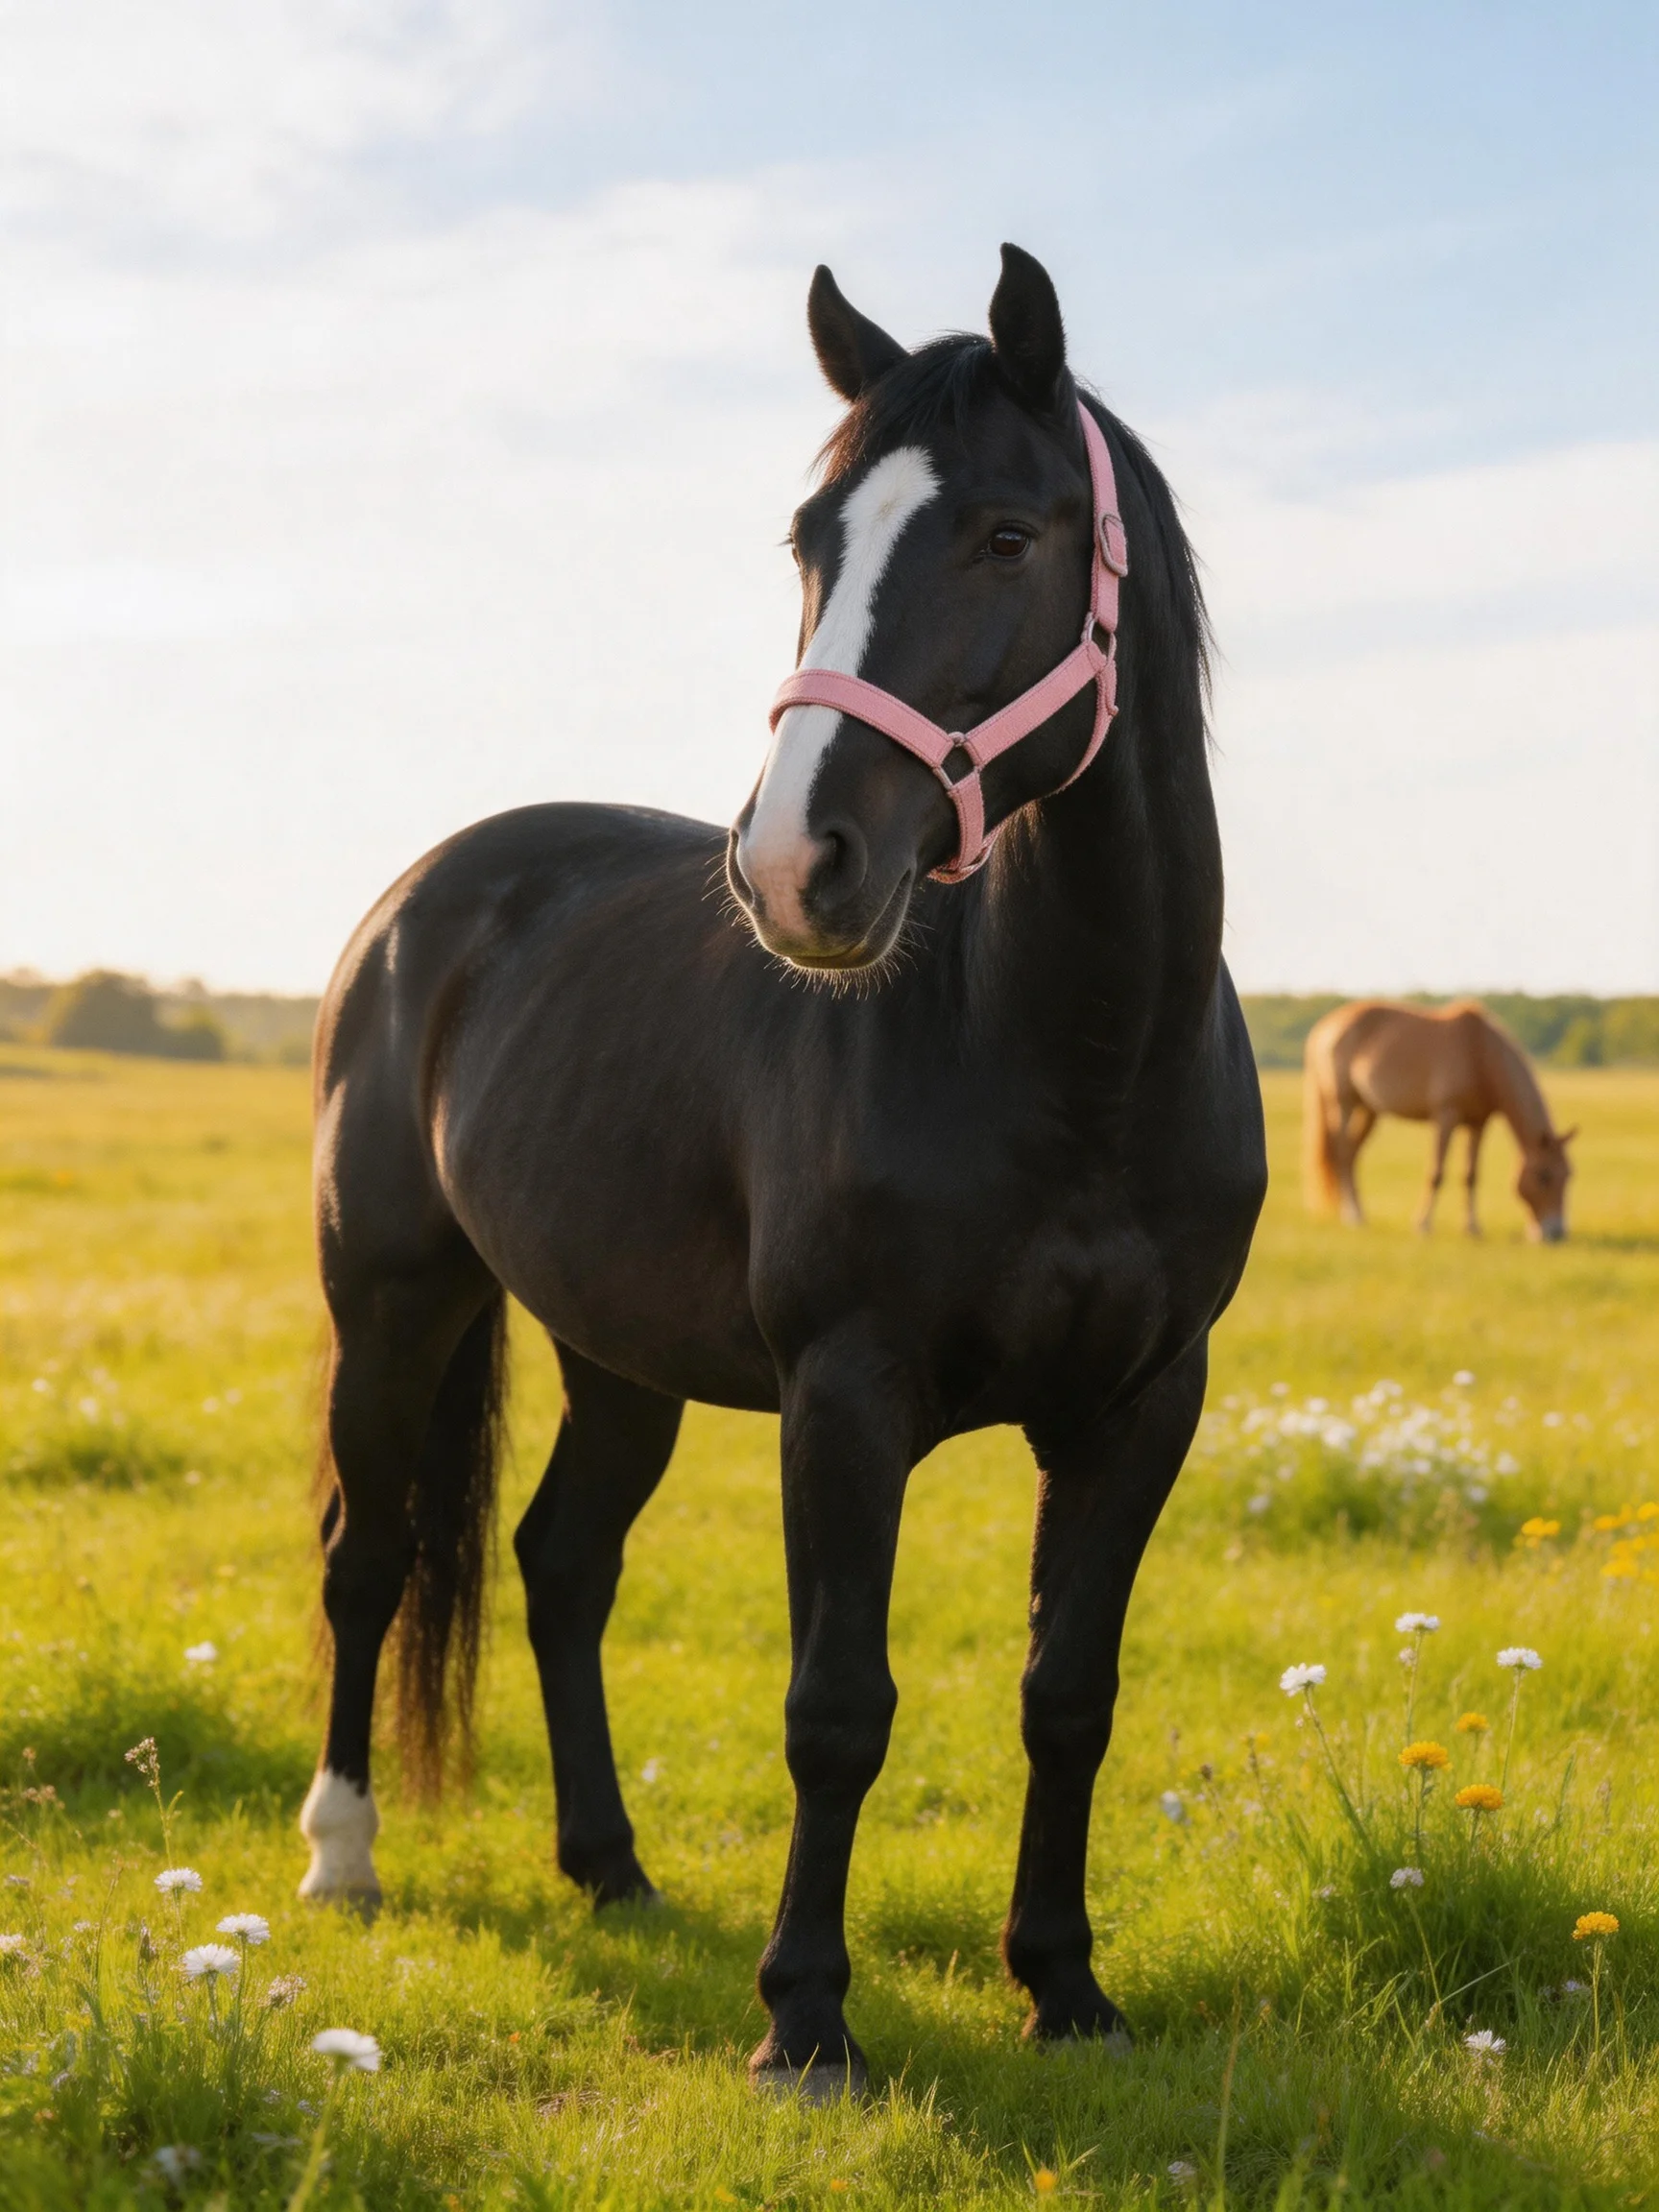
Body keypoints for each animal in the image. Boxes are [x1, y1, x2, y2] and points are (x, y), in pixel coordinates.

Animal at [297, 244, 1266, 2098]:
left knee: (558, 1562)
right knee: (369, 1554)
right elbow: (838, 1707)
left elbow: (1069, 1693)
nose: (795, 867)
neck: (1081, 1054)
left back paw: (610, 1868)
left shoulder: (1142, 1404)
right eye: (812, 540)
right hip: (392, 1305)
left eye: (1007, 536)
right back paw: (341, 1857)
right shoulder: (845, 1394)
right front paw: (807, 2022)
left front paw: (1065, 1988)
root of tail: (418, 899)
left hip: (615, 1354)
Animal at [1302, 999, 1575, 1238]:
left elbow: (1471, 1176)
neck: (1479, 1052)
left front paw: (1472, 1228)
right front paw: (1423, 1225)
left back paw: (1357, 1213)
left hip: (1368, 1109)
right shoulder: (1446, 1116)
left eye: (1568, 1175)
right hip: (1343, 1103)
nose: (1556, 1233)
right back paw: (1352, 1216)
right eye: (1544, 1176)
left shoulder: (1478, 1124)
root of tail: (1325, 1027)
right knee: (1341, 1153)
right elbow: (1436, 1172)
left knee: (1351, 1155)